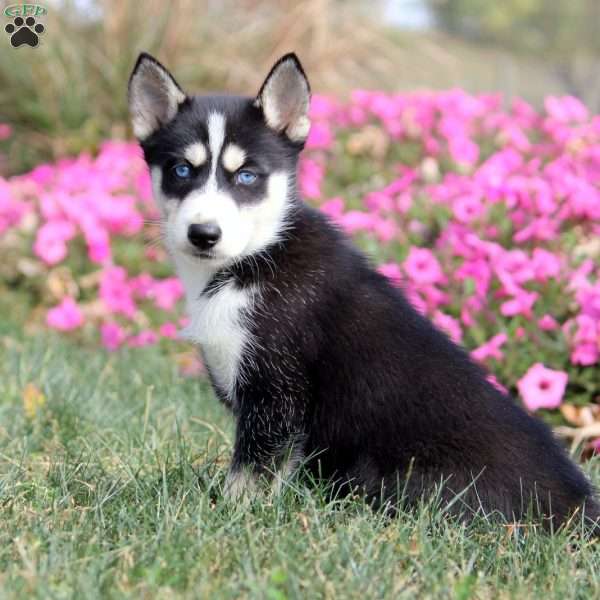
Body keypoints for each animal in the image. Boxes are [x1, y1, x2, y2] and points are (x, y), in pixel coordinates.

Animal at [129, 51, 596, 528]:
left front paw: (233, 517)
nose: (204, 234)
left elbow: (251, 473)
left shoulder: (277, 395)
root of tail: (579, 507)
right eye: (181, 170)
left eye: (247, 176)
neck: (257, 256)